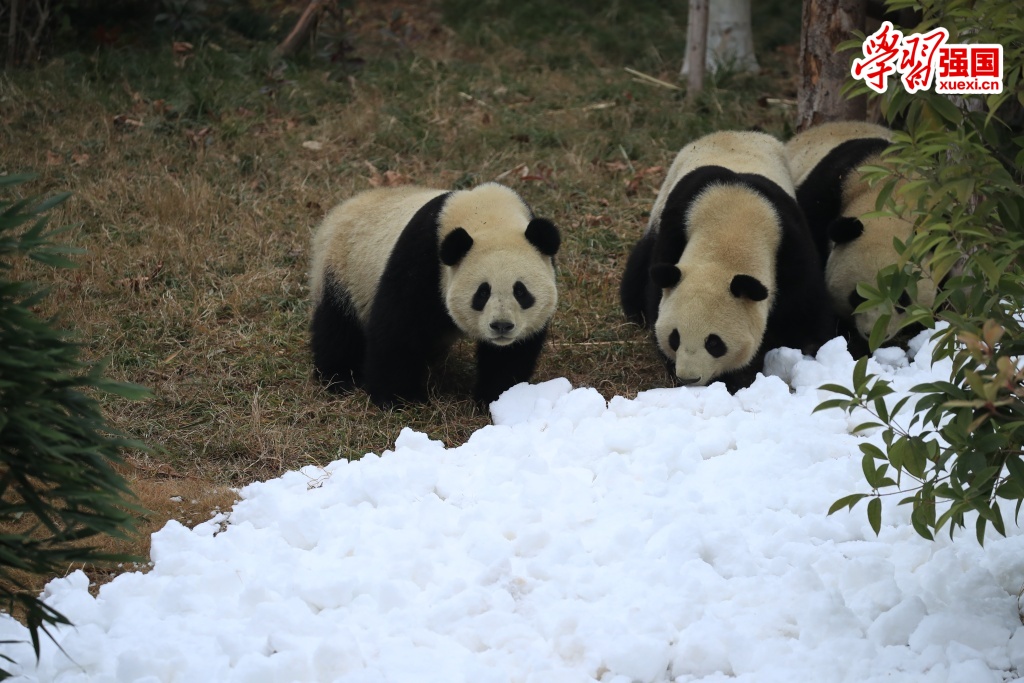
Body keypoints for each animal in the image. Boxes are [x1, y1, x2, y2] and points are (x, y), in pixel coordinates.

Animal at [309, 181, 561, 409]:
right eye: (482, 292)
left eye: (521, 291)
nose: (501, 326)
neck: (489, 216)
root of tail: (340, 210)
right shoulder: (423, 260)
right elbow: (398, 329)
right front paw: (399, 399)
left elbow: (510, 355)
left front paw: (501, 398)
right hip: (346, 271)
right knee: (338, 328)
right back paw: (341, 377)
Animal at [614, 130, 831, 393]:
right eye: (675, 338)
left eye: (714, 343)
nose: (689, 378)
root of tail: (736, 133)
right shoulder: (674, 228)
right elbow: (656, 298)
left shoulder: (789, 240)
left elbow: (806, 308)